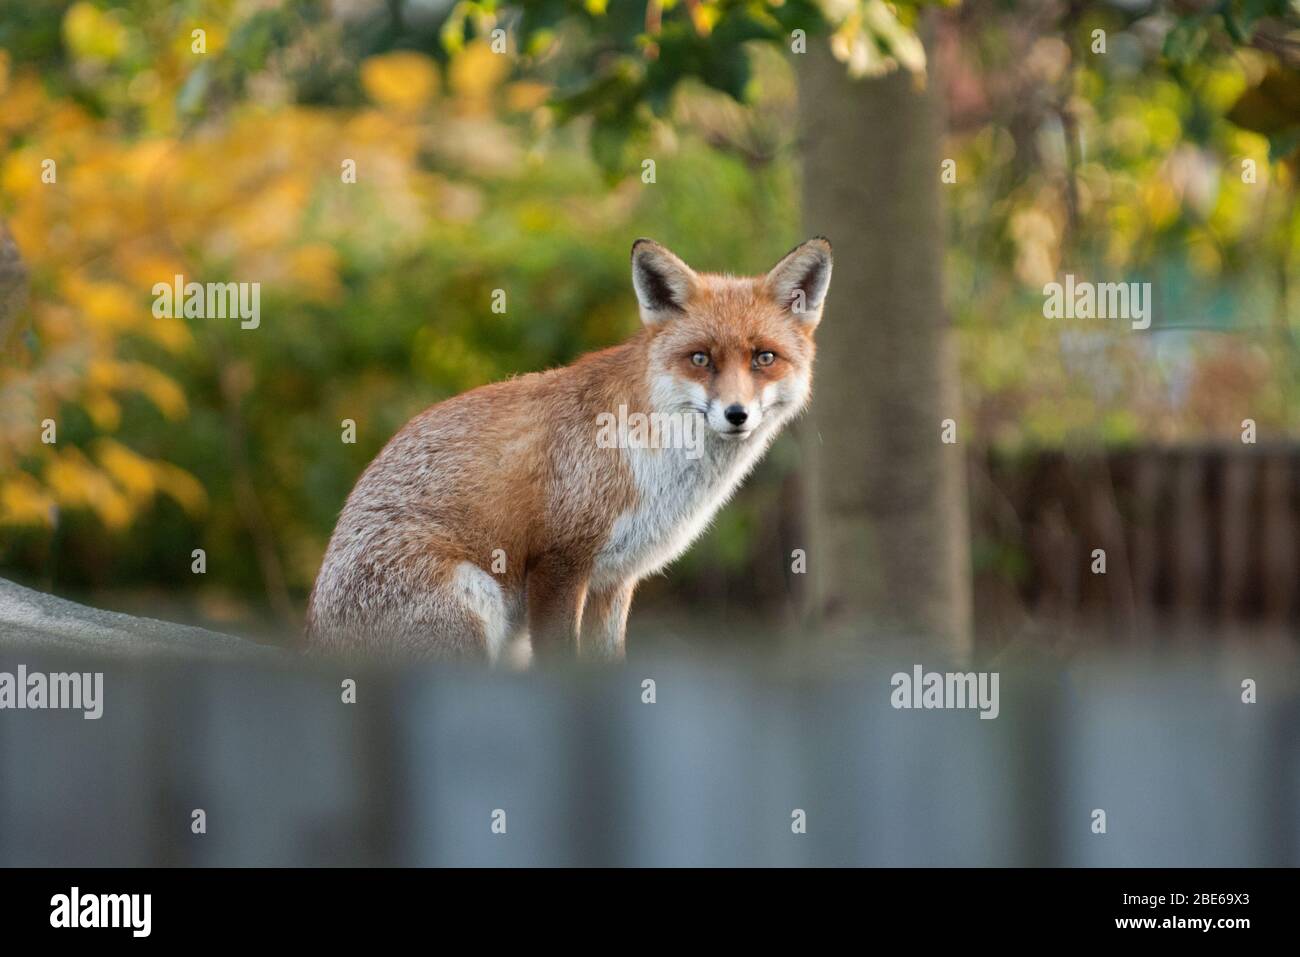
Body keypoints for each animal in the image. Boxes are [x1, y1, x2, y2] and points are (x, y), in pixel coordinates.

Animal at [304, 235, 832, 660]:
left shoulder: (613, 580)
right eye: (701, 358)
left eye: (764, 357)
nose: (736, 414)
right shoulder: (560, 563)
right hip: (474, 604)